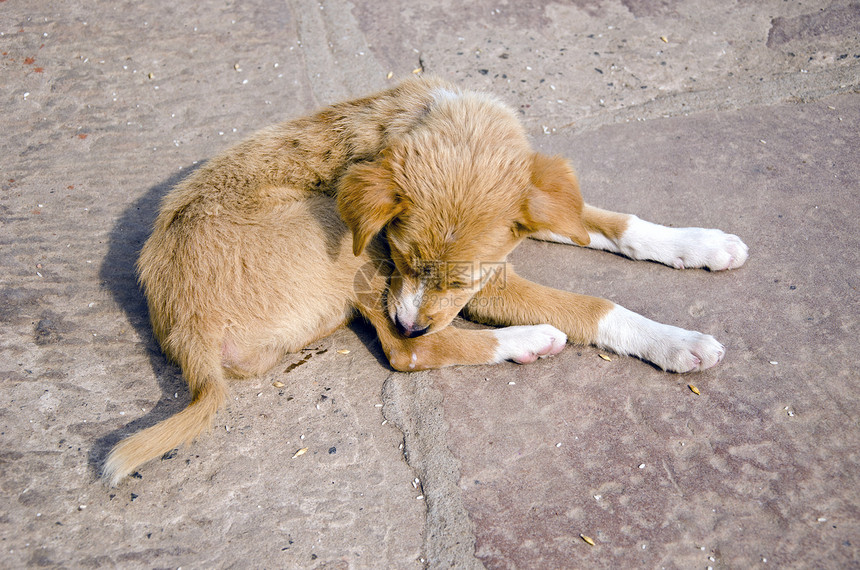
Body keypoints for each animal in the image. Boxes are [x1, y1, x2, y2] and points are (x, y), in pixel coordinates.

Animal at [102, 76, 744, 484]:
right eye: (401, 253)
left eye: (457, 282)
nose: (410, 318)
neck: (415, 117)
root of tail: (184, 332)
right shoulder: (469, 281)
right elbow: (592, 305)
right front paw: (676, 342)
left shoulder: (534, 213)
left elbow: (609, 222)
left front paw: (700, 243)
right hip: (335, 231)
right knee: (406, 356)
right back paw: (526, 340)